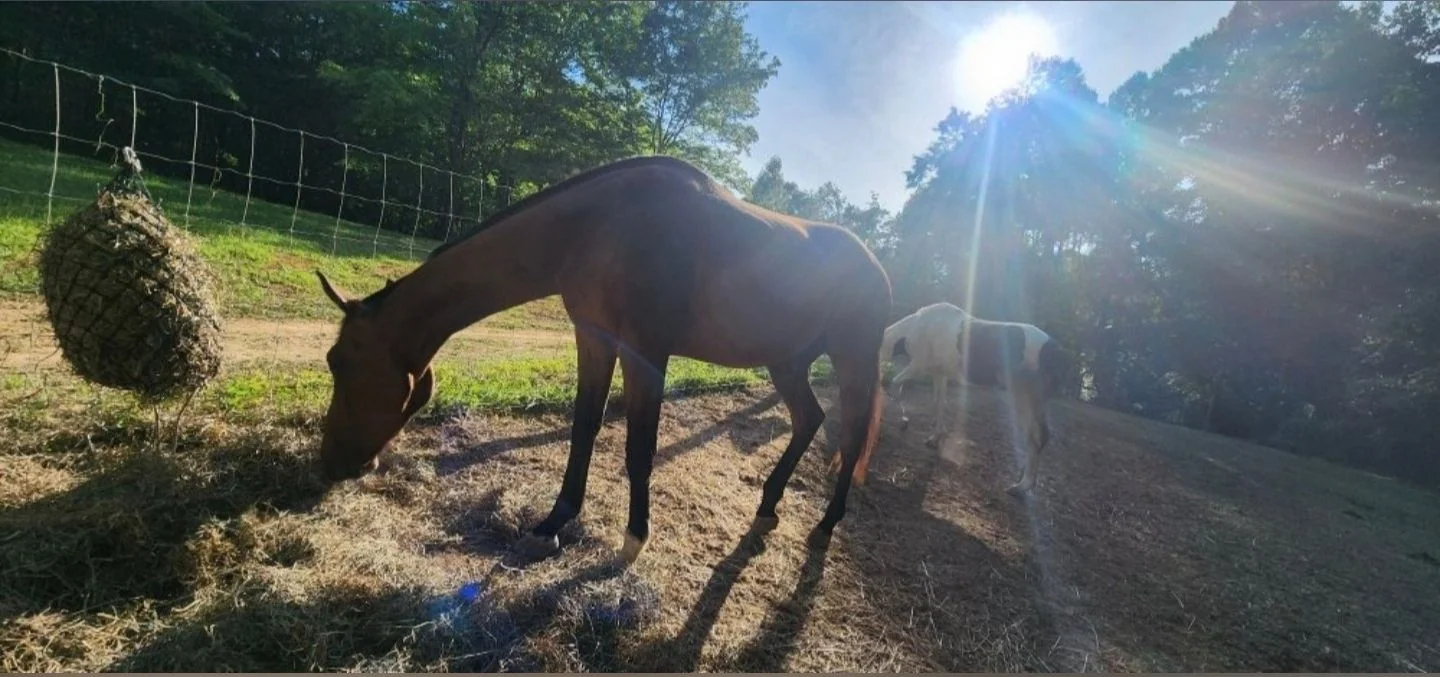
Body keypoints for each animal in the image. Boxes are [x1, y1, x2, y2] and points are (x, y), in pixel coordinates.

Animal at [313, 155, 891, 564]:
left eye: (337, 361)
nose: (330, 464)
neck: (601, 225)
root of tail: (877, 266)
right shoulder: (593, 338)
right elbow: (584, 427)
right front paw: (552, 523)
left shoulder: (646, 351)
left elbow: (639, 446)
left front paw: (635, 538)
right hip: (787, 362)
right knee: (809, 419)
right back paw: (768, 506)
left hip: (853, 359)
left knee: (850, 437)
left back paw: (826, 525)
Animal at [831, 302, 1069, 495]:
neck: (917, 327)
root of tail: (1054, 349)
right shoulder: (939, 374)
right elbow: (939, 403)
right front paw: (935, 437)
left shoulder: (918, 367)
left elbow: (895, 387)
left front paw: (903, 421)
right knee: (1040, 436)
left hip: (1023, 397)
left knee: (1035, 437)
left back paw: (1021, 486)